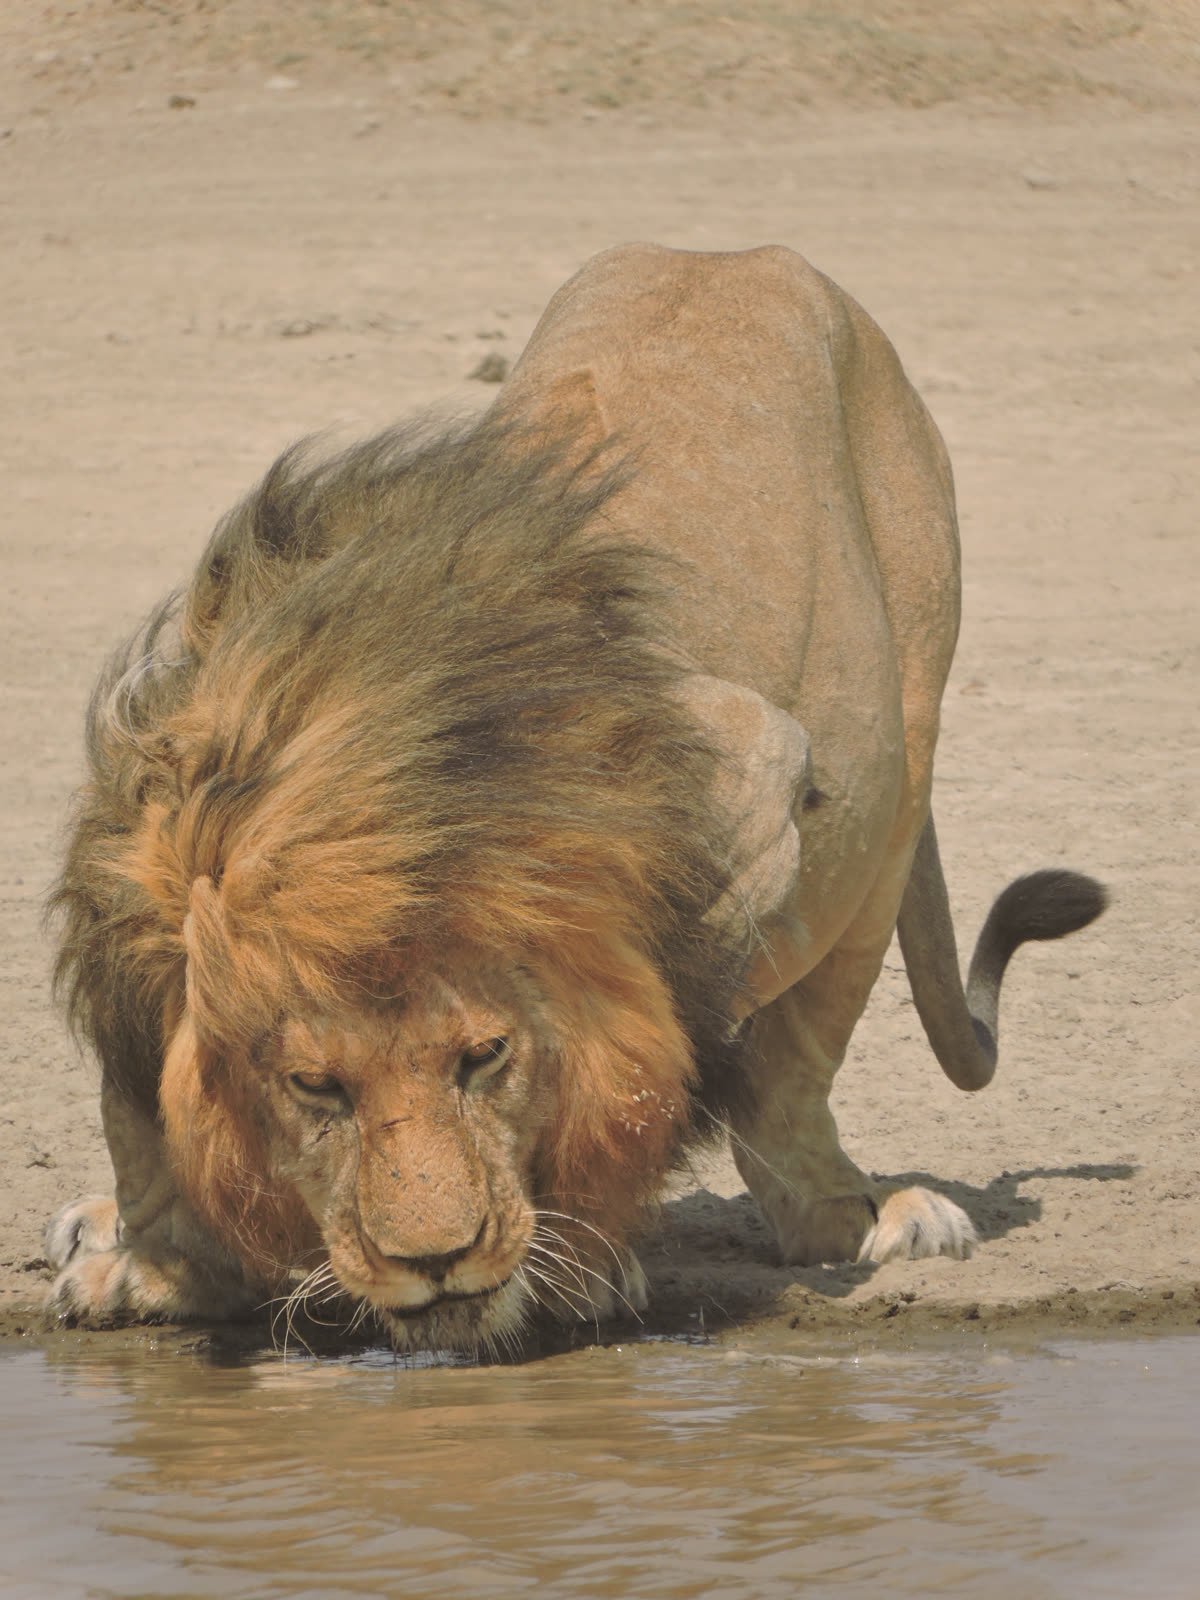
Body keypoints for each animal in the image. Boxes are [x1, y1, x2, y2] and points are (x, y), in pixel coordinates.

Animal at [45, 244, 1105, 1354]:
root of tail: (741, 253)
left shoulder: (759, 777)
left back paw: (867, 1212)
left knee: (796, 1063)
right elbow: (139, 1098)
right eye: (315, 1084)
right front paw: (154, 1261)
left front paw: (578, 1262)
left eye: (483, 1058)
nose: (432, 1260)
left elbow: (650, 1047)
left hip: (900, 763)